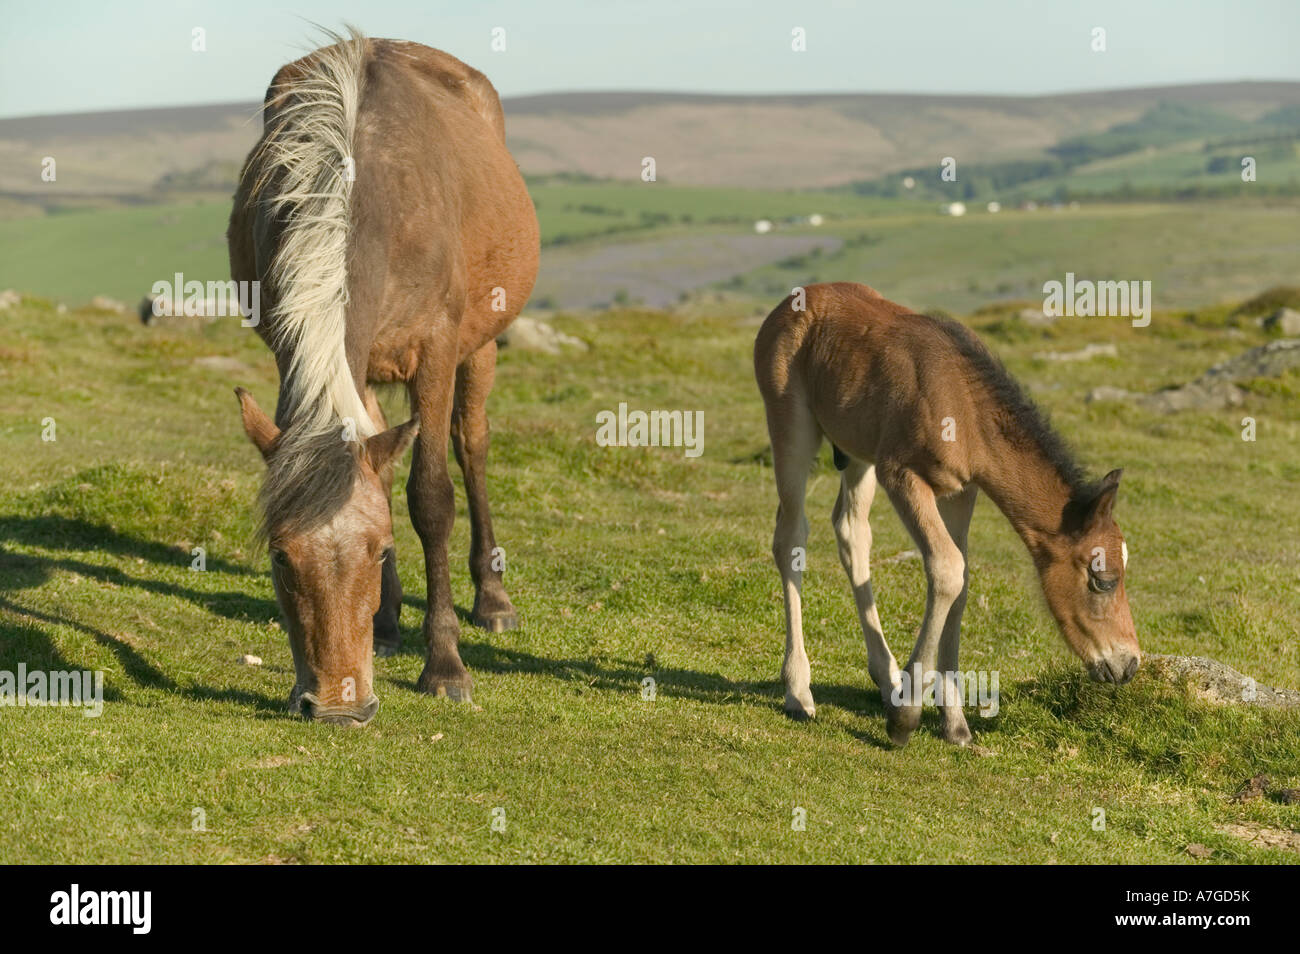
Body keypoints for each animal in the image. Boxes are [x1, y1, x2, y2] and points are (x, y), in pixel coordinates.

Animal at [226, 31, 535, 733]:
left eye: (374, 550)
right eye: (281, 558)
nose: (339, 706)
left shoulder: (438, 350)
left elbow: (431, 498)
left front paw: (445, 665)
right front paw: (389, 625)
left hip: (481, 347)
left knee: (472, 445)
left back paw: (492, 599)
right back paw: (392, 623)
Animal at [754, 282, 1138, 748]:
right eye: (1103, 581)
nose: (1128, 664)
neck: (965, 406)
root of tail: (797, 298)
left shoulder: (961, 491)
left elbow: (963, 580)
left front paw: (953, 722)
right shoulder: (901, 474)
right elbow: (948, 569)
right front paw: (906, 717)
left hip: (858, 451)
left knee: (851, 532)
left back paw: (886, 677)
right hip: (791, 425)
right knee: (791, 535)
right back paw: (798, 691)